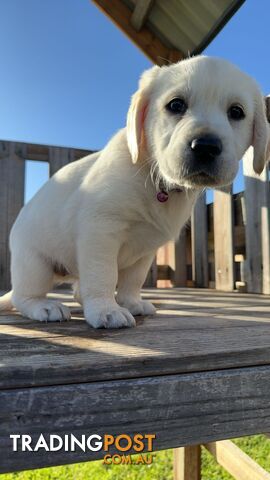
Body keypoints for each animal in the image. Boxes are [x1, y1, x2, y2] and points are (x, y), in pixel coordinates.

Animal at [0, 55, 270, 326]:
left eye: (236, 112)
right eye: (176, 105)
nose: (205, 146)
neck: (156, 179)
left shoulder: (146, 249)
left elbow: (133, 280)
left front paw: (130, 302)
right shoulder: (100, 230)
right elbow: (103, 275)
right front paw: (105, 309)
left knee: (77, 290)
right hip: (34, 264)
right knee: (23, 296)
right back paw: (43, 306)